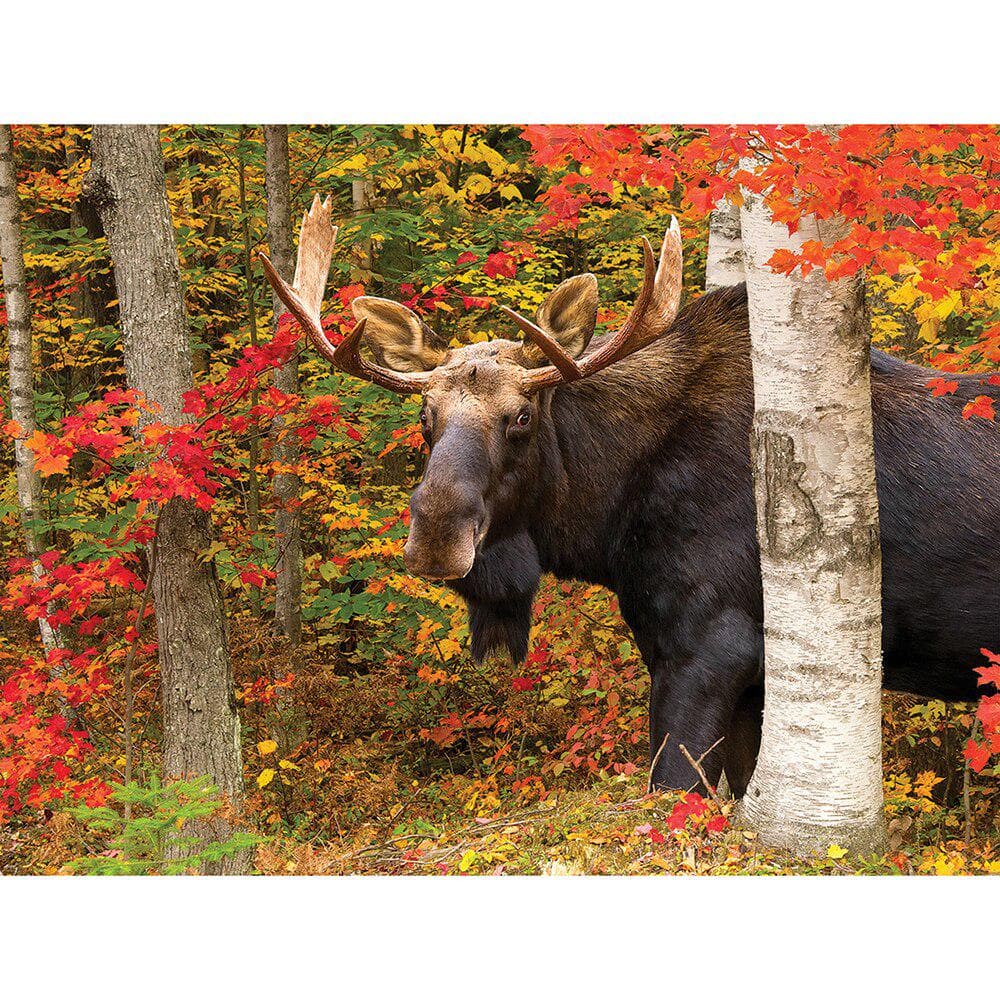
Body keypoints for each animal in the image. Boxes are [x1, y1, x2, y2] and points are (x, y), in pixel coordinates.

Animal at [261, 195, 1000, 796]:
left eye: (521, 416)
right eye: (425, 417)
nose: (438, 532)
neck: (605, 522)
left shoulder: (713, 646)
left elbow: (671, 790)